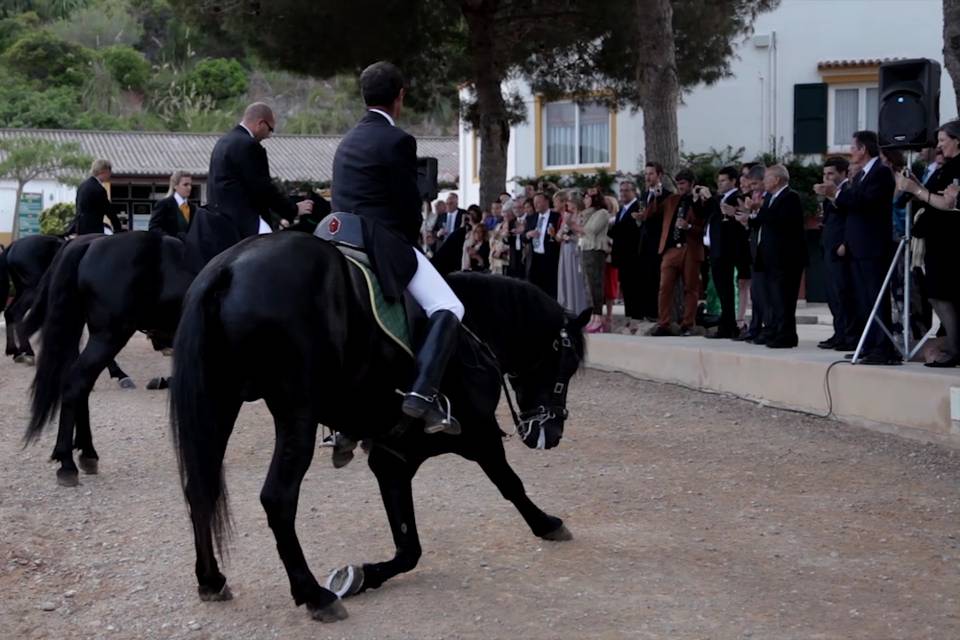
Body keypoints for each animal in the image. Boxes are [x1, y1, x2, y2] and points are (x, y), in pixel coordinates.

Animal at [0, 234, 133, 382]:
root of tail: (14, 244)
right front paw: (117, 372)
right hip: (32, 290)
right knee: (17, 312)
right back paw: (27, 352)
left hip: (22, 289)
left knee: (9, 312)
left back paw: (14, 351)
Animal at [169, 232, 584, 624]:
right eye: (567, 365)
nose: (552, 434)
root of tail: (228, 267)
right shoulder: (478, 435)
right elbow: (510, 484)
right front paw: (547, 523)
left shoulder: (392, 459)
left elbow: (409, 548)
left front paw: (359, 576)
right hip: (296, 412)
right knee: (278, 498)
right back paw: (315, 596)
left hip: (219, 403)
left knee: (200, 488)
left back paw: (211, 580)